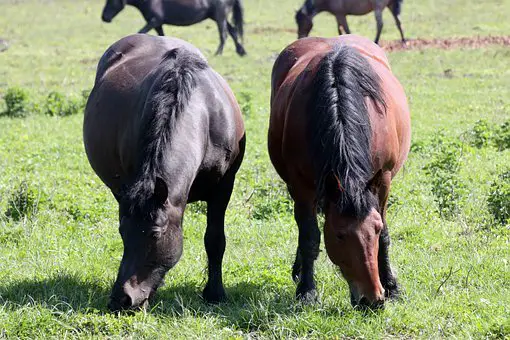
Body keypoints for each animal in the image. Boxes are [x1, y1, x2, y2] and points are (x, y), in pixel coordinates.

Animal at [84, 33, 247, 310]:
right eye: (122, 232)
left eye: (154, 234)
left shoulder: (224, 186)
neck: (204, 112)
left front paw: (215, 293)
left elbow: (215, 240)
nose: (121, 299)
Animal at [100, 0, 246, 55]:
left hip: (219, 17)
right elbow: (161, 36)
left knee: (224, 33)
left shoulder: (154, 21)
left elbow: (141, 31)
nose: (104, 18)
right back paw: (241, 51)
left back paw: (219, 53)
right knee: (233, 31)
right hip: (218, 17)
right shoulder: (158, 23)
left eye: (111, 1)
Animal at [270, 34, 410, 308]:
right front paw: (307, 291)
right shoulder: (301, 186)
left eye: (375, 229)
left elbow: (386, 236)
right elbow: (310, 237)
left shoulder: (383, 180)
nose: (372, 300)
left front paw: (392, 286)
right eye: (340, 235)